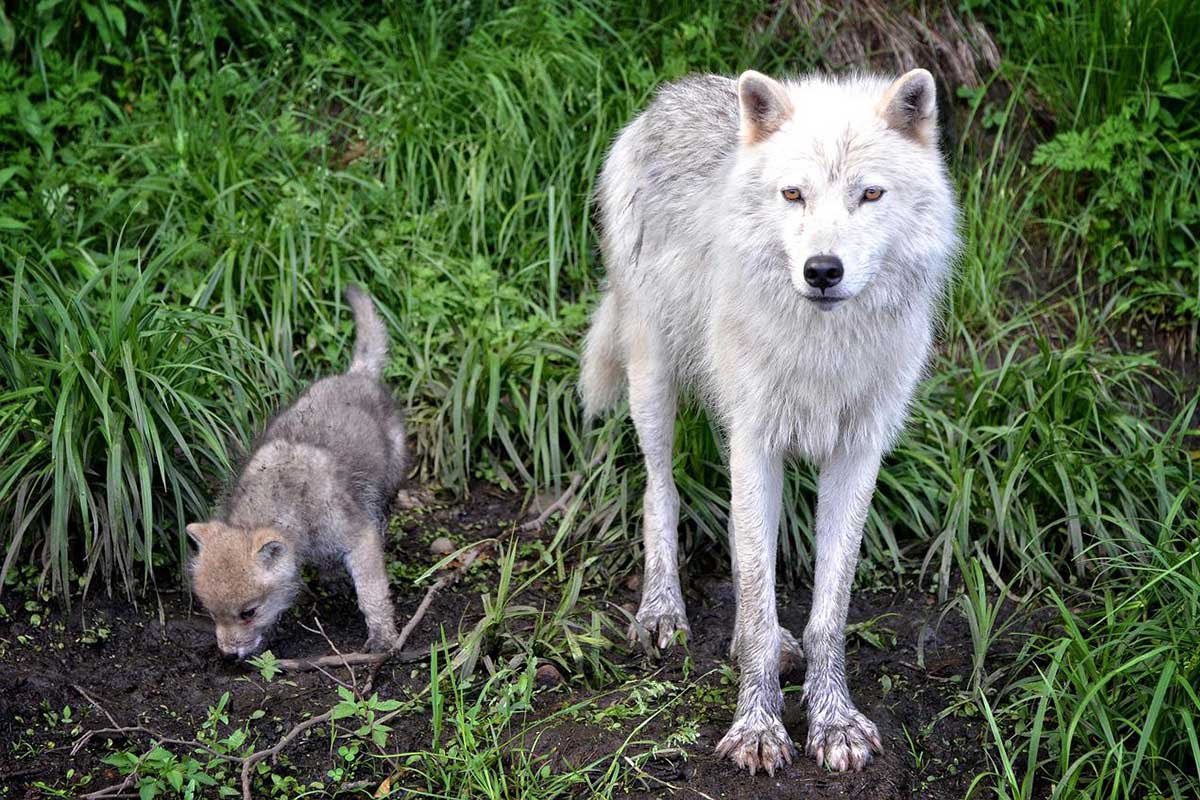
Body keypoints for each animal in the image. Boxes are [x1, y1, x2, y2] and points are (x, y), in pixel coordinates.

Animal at [578, 70, 955, 777]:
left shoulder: (856, 451)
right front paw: (757, 728)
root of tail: (669, 95)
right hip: (653, 376)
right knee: (660, 491)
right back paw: (661, 610)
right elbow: (756, 590)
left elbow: (827, 608)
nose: (822, 270)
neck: (823, 347)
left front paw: (833, 721)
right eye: (793, 193)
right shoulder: (757, 441)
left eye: (869, 194)